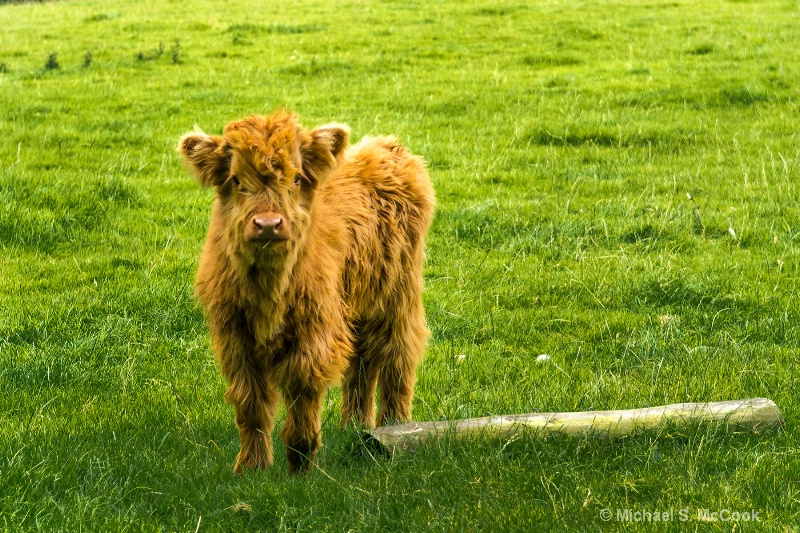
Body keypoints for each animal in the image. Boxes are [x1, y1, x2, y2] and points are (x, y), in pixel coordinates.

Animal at [178, 110, 434, 472]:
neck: (269, 288)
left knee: (397, 355)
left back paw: (395, 427)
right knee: (361, 363)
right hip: (356, 303)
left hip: (397, 296)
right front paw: (251, 467)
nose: (268, 224)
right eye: (236, 180)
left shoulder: (313, 334)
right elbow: (250, 404)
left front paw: (301, 465)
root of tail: (386, 146)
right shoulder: (236, 339)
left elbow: (302, 395)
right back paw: (354, 425)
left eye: (296, 178)